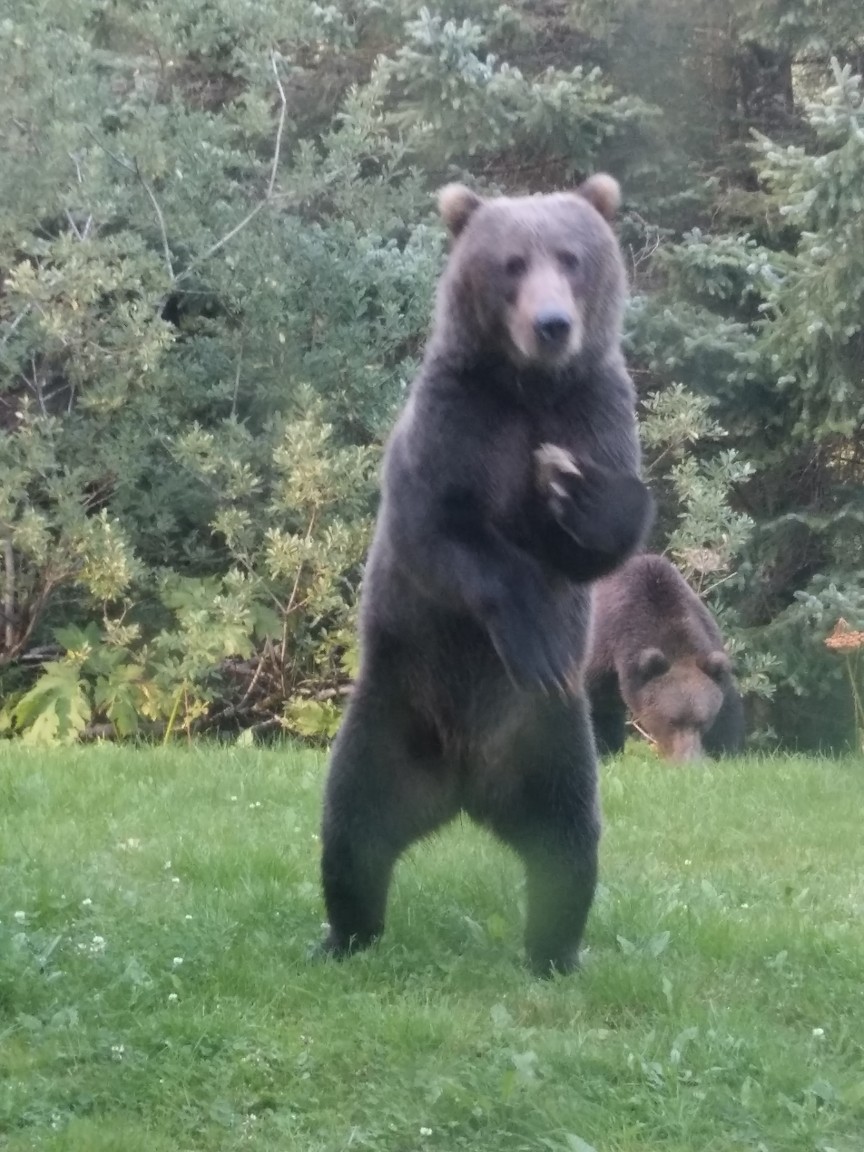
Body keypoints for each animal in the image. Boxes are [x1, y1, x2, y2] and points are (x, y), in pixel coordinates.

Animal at [320, 175, 654, 976]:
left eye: (571, 257)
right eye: (511, 264)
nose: (553, 325)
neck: (528, 391)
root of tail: (467, 786)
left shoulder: (595, 411)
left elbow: (597, 544)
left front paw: (581, 492)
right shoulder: (456, 423)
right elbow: (440, 534)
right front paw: (531, 635)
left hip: (552, 741)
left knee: (568, 846)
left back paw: (555, 951)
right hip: (393, 717)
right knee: (352, 830)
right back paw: (344, 934)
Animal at [585, 550, 746, 760]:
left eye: (702, 722)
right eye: (672, 721)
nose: (688, 760)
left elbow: (727, 708)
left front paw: (725, 750)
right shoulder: (603, 653)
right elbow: (598, 706)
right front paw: (603, 750)